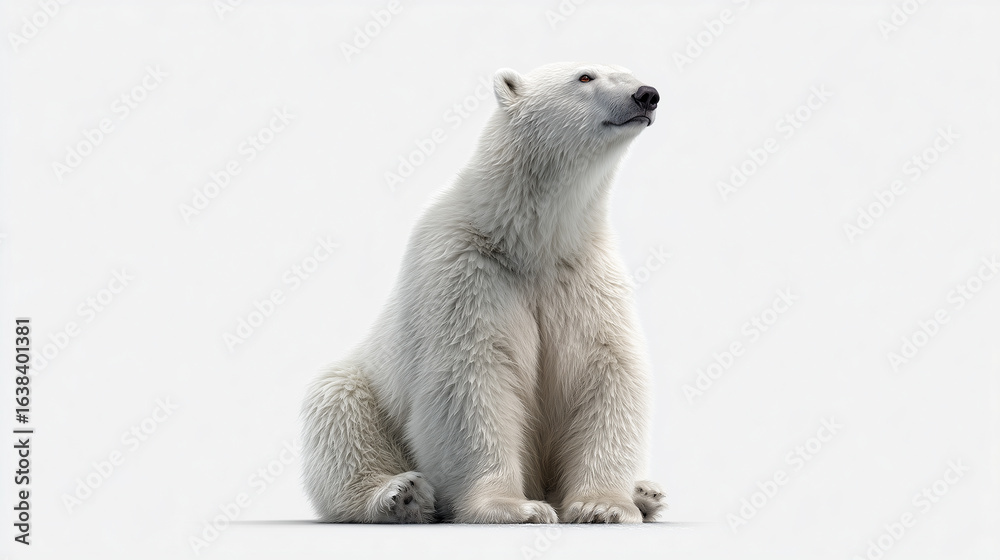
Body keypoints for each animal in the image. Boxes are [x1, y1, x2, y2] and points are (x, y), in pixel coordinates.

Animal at [301, 62, 665, 524]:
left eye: (629, 71)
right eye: (585, 76)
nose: (647, 94)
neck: (528, 241)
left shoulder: (583, 277)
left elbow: (605, 370)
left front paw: (604, 506)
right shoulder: (465, 269)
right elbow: (472, 378)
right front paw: (516, 507)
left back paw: (646, 491)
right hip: (367, 382)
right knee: (339, 410)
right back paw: (401, 495)